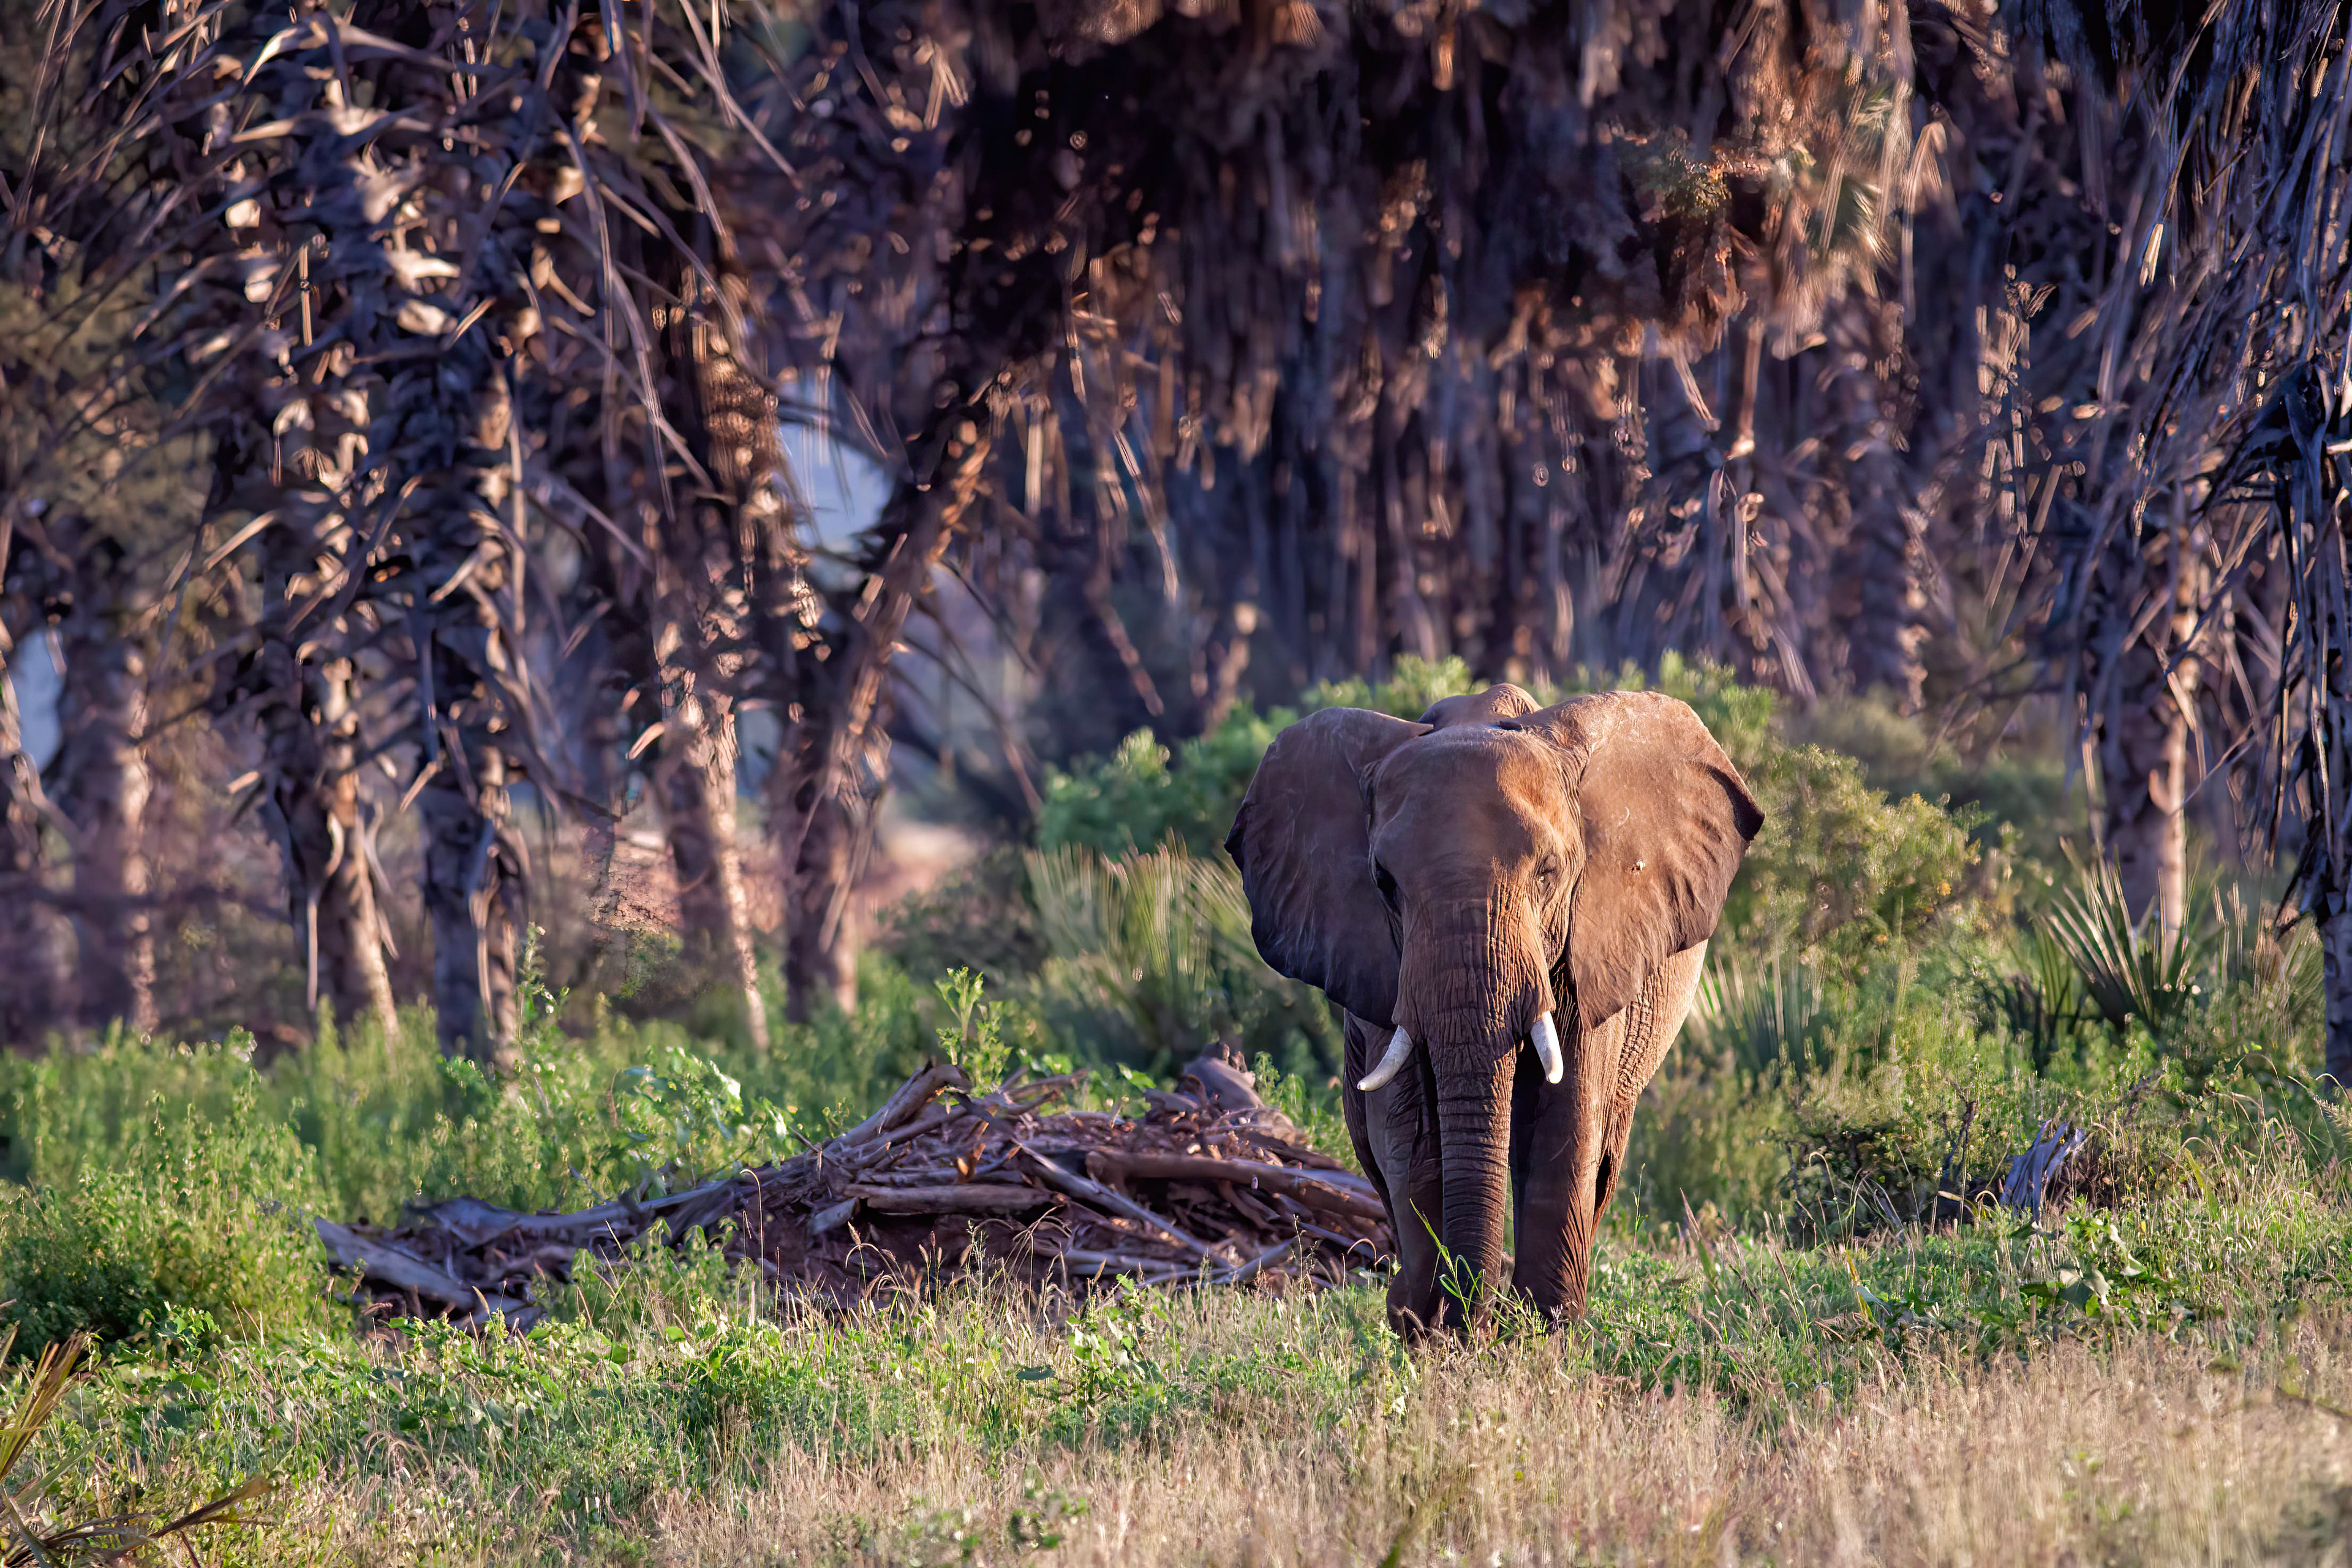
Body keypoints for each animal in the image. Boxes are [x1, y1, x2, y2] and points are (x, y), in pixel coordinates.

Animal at [1223, 684, 1761, 1334]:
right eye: (1384, 882)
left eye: (1549, 874)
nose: (1475, 1317)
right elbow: (1406, 1129)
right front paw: (1432, 1332)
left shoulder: (1588, 945)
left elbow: (1566, 1121)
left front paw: (1543, 1336)